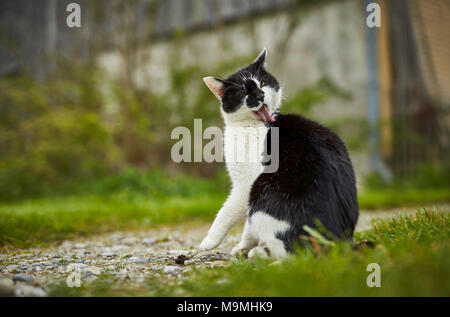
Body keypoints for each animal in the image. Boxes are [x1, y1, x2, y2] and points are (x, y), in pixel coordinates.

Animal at [200, 49, 358, 256]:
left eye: (262, 84)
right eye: (243, 92)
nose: (259, 95)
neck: (258, 125)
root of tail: (338, 244)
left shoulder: (246, 185)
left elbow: (227, 213)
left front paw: (213, 242)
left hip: (262, 192)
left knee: (291, 255)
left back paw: (260, 254)